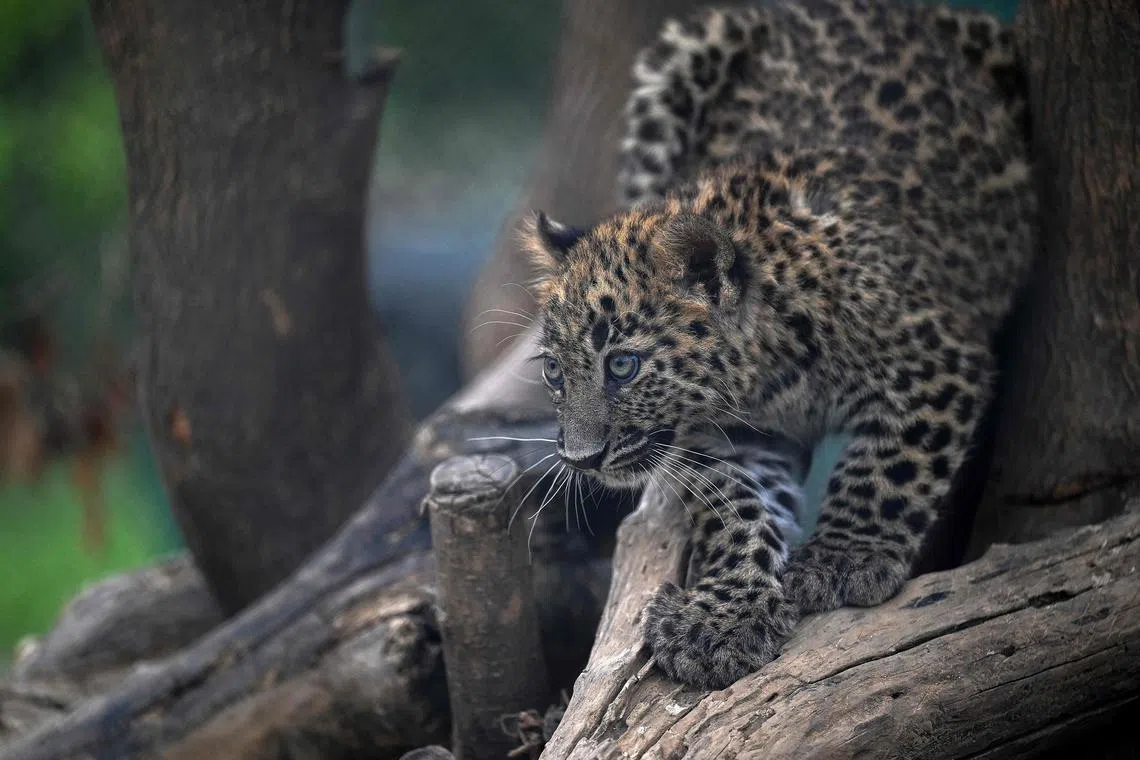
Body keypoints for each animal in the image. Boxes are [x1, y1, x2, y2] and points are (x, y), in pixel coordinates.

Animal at [522, 0, 1036, 690]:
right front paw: (721, 617)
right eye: (555, 372)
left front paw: (843, 557)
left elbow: (890, 467)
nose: (580, 460)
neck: (765, 371)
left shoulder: (938, 364)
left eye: (623, 366)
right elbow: (734, 506)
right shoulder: (740, 437)